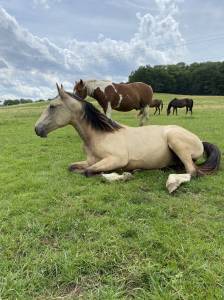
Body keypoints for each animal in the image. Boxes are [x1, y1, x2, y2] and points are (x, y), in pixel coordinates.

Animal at [34, 83, 220, 193]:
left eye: (52, 106)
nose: (37, 129)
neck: (101, 135)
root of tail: (199, 140)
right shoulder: (90, 160)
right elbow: (73, 167)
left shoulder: (116, 159)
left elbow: (89, 172)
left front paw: (122, 175)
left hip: (176, 141)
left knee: (192, 172)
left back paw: (171, 183)